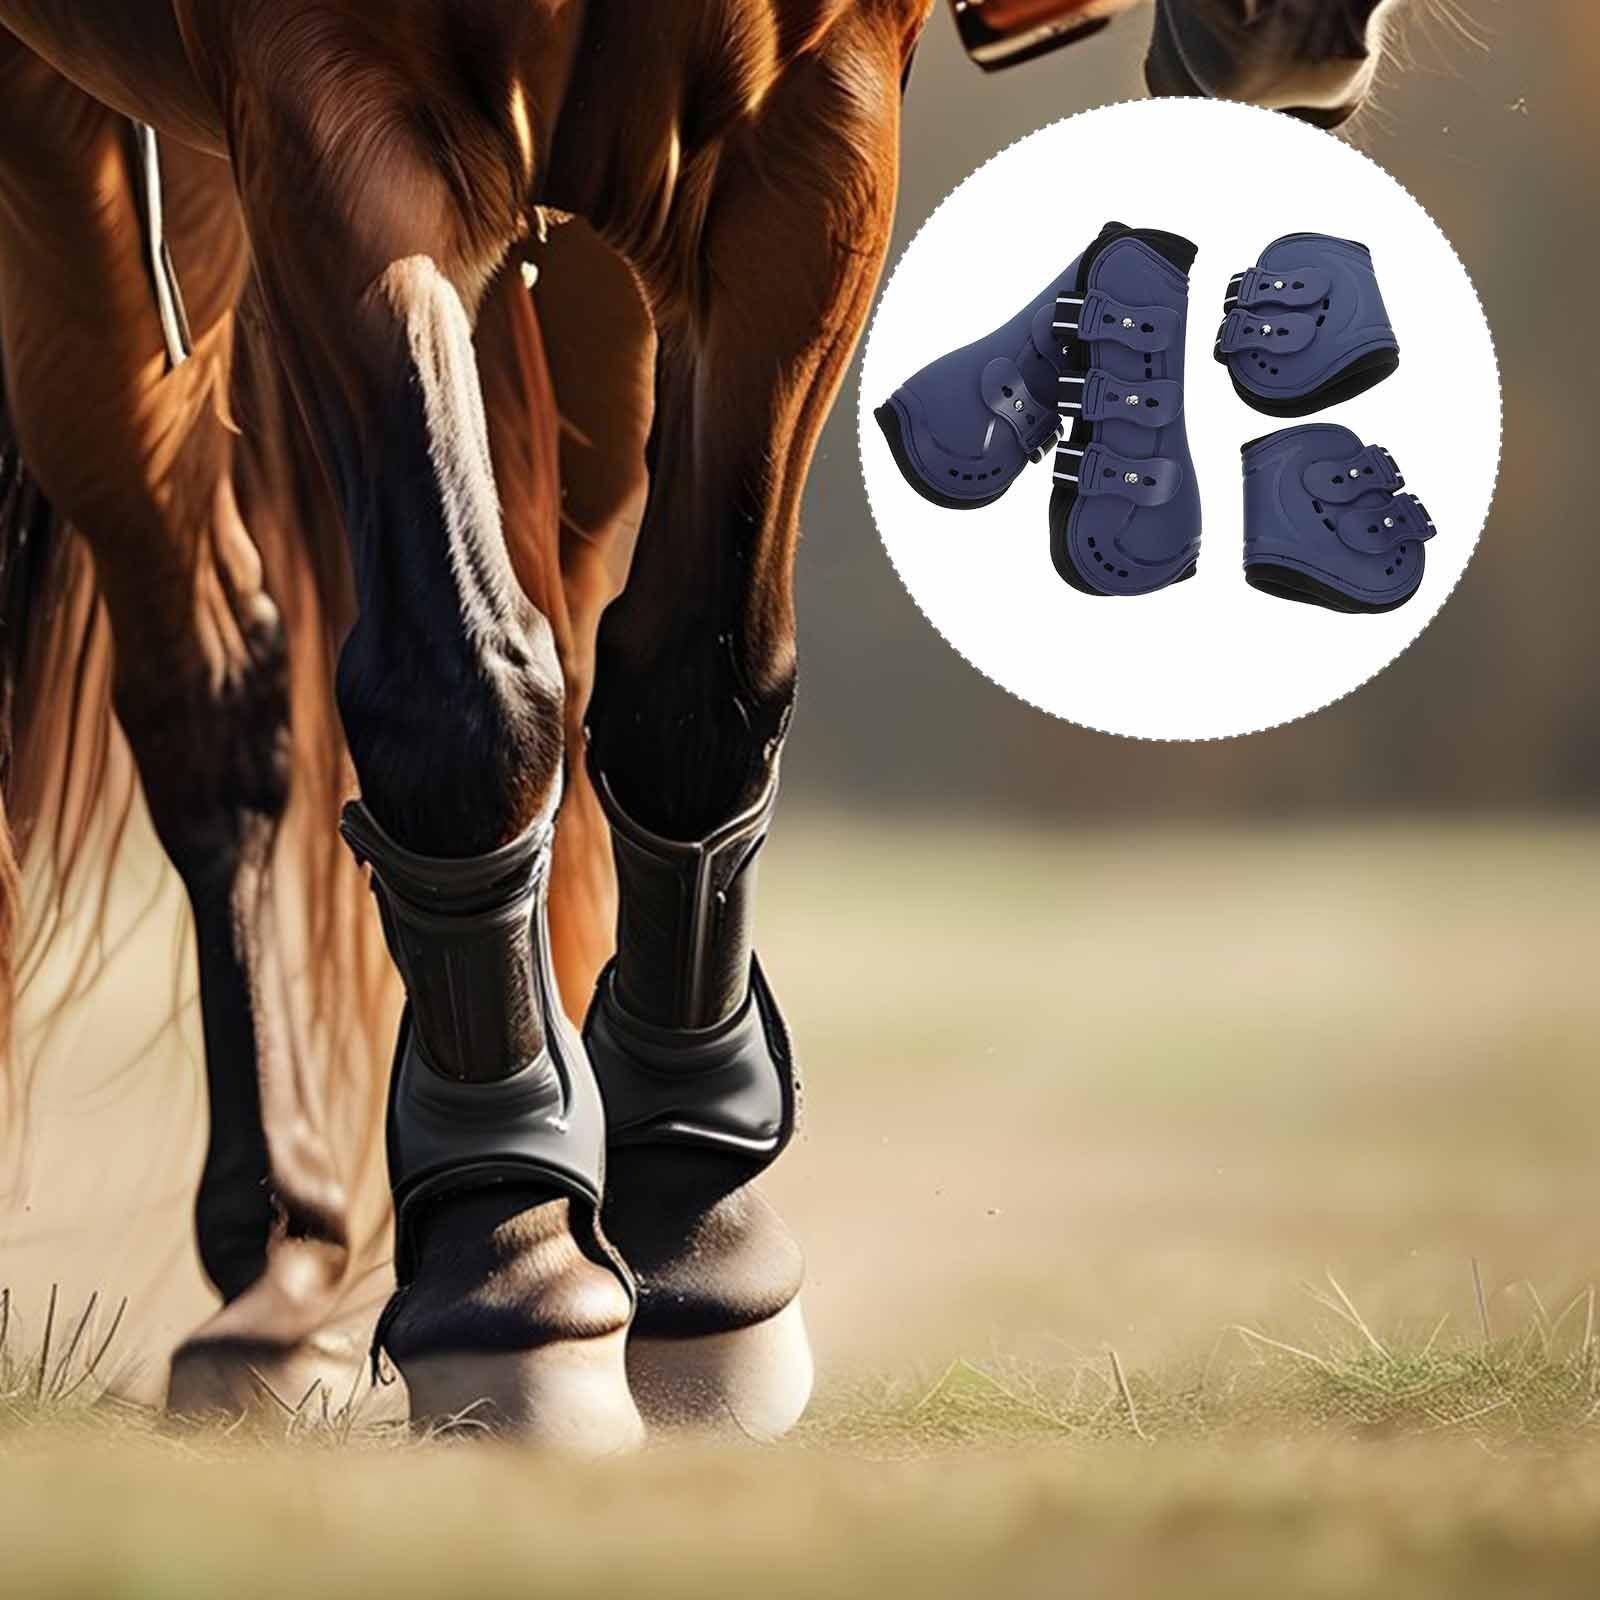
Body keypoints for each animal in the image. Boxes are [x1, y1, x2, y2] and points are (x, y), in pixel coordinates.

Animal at [0, 0, 1419, 1446]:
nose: (1297, 31)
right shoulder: (325, 118)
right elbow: (461, 697)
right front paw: (508, 1266)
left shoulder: (807, 130)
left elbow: (694, 687)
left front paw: (687, 1229)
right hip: (96, 188)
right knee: (210, 696)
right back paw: (282, 1272)